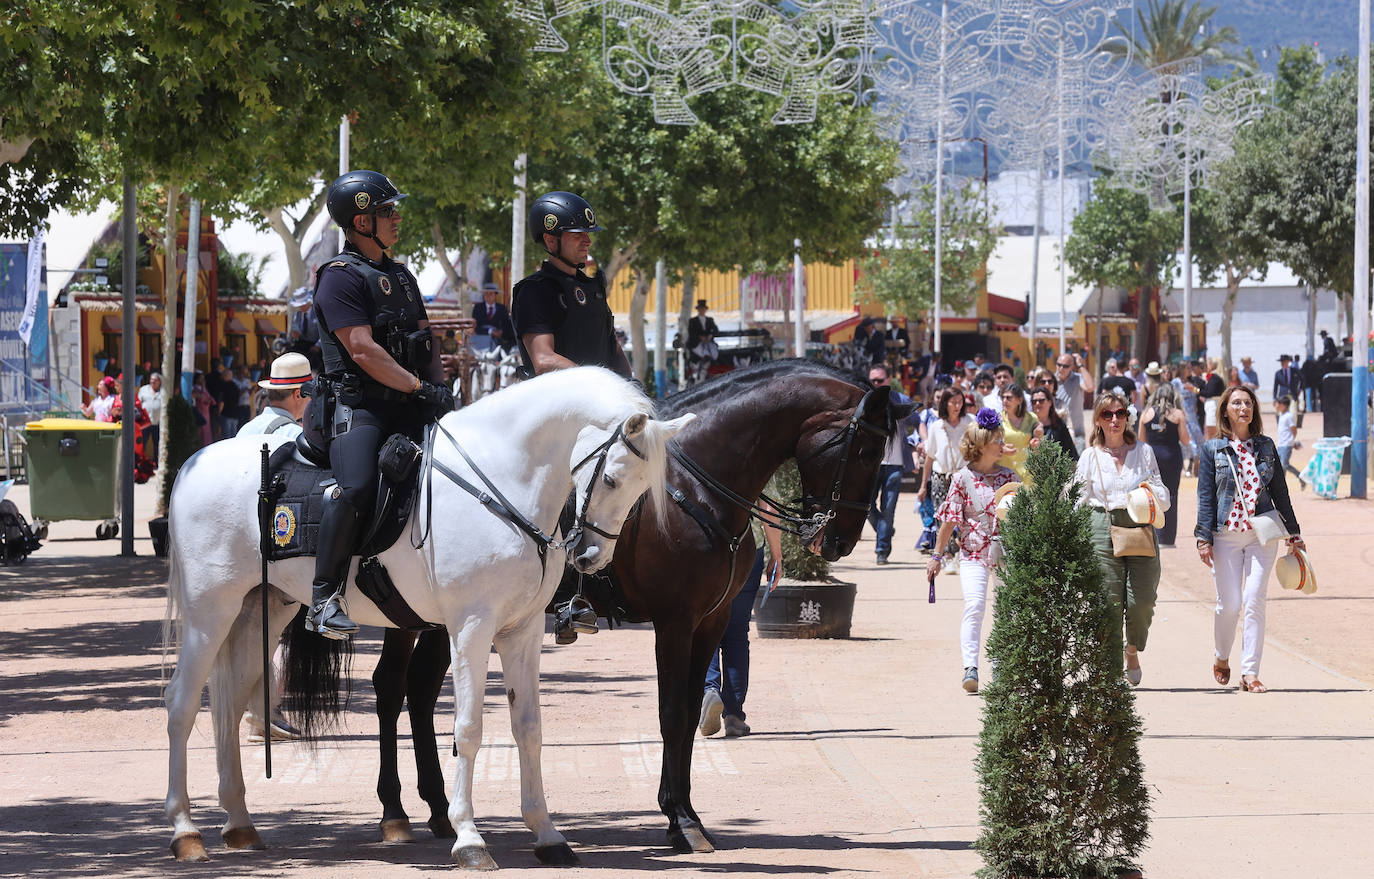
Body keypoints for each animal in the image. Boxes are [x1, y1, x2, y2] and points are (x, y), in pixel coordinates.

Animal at [162, 368, 692, 868]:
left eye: (642, 490)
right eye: (611, 479)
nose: (590, 557)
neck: (500, 480)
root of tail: (193, 463)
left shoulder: (521, 633)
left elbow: (529, 728)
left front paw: (547, 834)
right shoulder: (471, 629)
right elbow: (468, 729)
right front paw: (469, 838)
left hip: (261, 609)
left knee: (229, 706)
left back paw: (239, 823)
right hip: (210, 612)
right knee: (182, 702)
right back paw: (185, 831)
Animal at [368, 359, 901, 857]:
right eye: (865, 450)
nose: (838, 541)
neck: (699, 490)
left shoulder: (711, 622)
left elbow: (688, 715)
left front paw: (688, 814)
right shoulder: (675, 622)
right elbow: (672, 715)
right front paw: (680, 821)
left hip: (438, 620)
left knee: (419, 691)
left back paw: (437, 809)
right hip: (422, 618)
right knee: (392, 687)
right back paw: (396, 812)